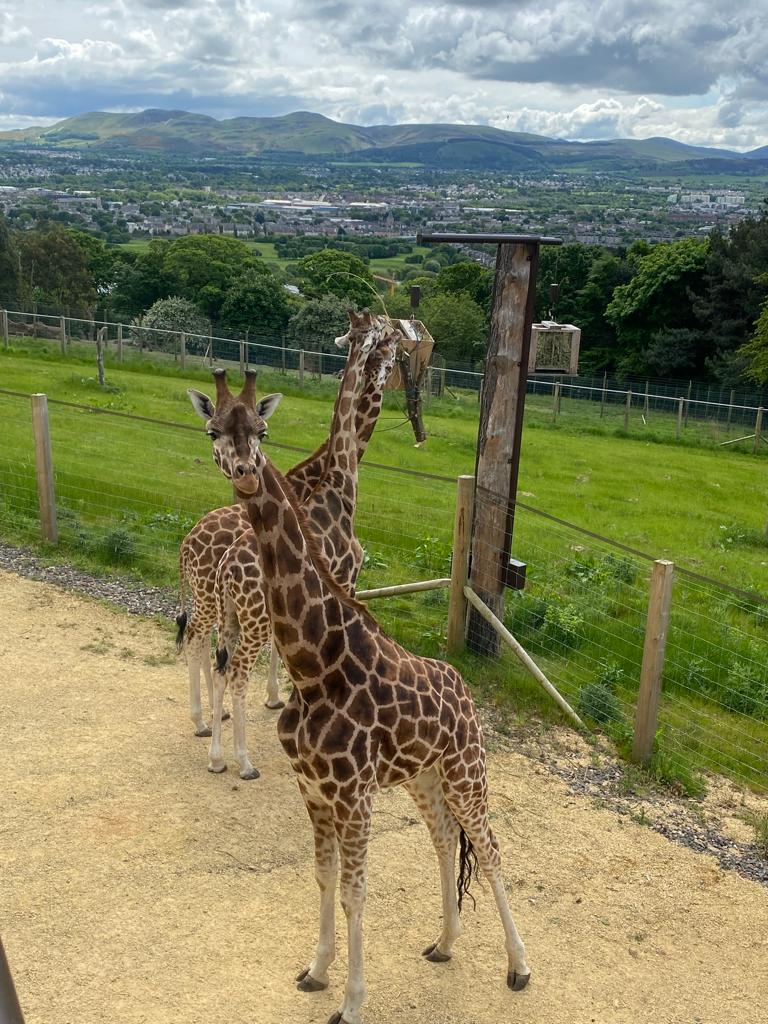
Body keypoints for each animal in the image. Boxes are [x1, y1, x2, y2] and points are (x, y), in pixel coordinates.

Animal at [207, 315, 399, 779]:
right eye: (386, 347)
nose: (394, 364)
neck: (339, 482)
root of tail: (225, 568)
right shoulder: (347, 578)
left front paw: (281, 699)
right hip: (251, 617)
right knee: (231, 668)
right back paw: (241, 759)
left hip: (227, 611)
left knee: (212, 658)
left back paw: (215, 750)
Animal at [237, 451, 531, 1024]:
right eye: (213, 432)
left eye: (255, 437)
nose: (239, 472)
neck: (316, 670)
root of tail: (467, 693)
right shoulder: (313, 789)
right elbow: (325, 876)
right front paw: (316, 971)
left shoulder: (353, 796)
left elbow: (355, 892)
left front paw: (351, 1003)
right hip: (424, 777)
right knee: (444, 839)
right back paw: (445, 943)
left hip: (467, 771)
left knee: (489, 850)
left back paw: (519, 966)